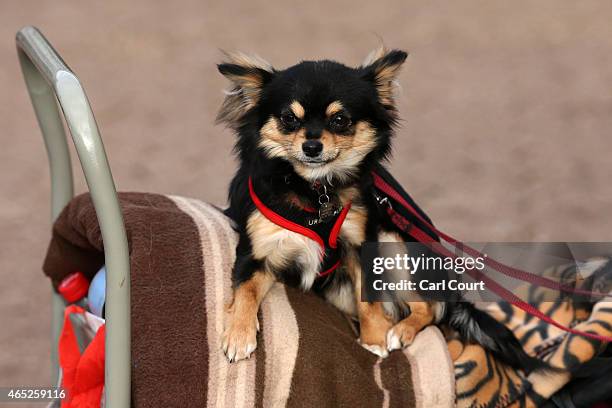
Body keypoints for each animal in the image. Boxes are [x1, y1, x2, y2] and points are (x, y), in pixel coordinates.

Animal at [218, 47, 544, 370]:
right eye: (288, 118)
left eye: (340, 119)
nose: (311, 147)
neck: (315, 188)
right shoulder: (256, 251)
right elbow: (245, 290)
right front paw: (238, 335)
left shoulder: (360, 244)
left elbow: (369, 297)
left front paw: (374, 339)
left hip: (394, 243)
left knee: (428, 309)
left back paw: (400, 331)